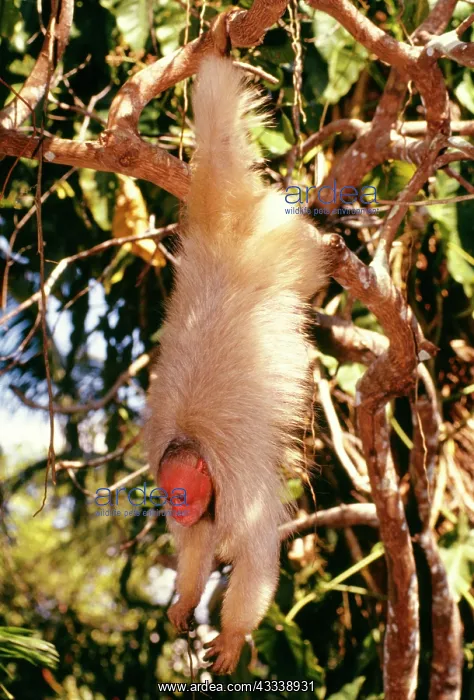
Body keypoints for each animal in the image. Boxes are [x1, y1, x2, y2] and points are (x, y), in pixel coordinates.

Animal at [145, 55, 327, 675]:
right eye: (171, 498)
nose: (176, 512)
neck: (190, 443)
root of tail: (223, 238)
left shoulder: (237, 482)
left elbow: (257, 555)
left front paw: (233, 633)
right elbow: (197, 545)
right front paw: (185, 598)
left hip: (280, 251)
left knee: (305, 253)